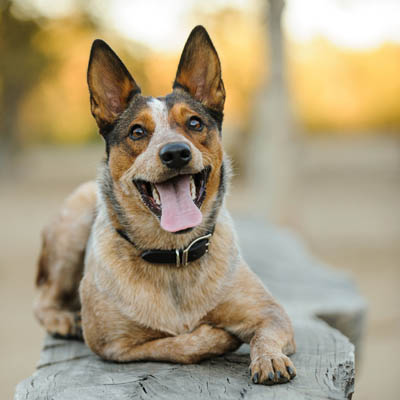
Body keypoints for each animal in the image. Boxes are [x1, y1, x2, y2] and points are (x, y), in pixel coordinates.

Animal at [34, 24, 296, 384]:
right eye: (137, 131)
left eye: (195, 123)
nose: (175, 152)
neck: (174, 255)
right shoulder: (114, 345)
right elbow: (180, 343)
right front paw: (216, 336)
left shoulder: (272, 313)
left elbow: (266, 332)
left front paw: (269, 359)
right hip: (74, 219)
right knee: (44, 299)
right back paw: (62, 319)